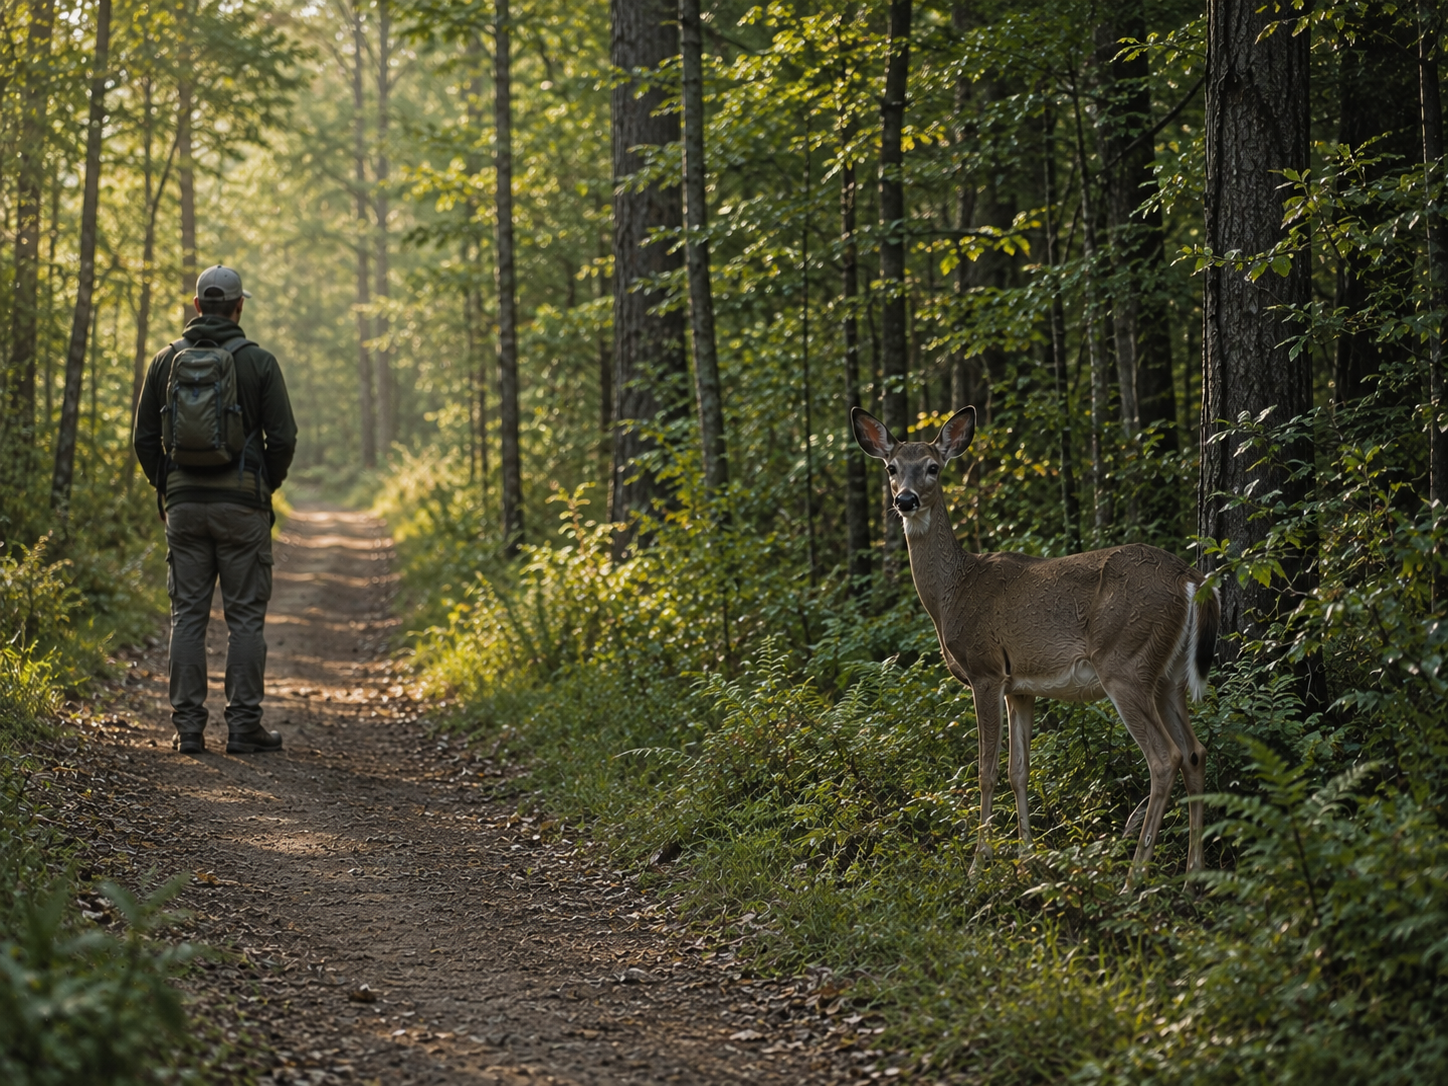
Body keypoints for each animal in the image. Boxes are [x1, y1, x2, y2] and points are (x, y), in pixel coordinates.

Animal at [852, 405, 1219, 886]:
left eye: (932, 467)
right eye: (892, 468)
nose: (906, 500)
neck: (952, 591)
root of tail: (1190, 578)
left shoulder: (985, 670)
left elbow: (987, 771)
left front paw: (978, 865)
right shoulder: (1020, 687)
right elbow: (1019, 771)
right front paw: (1027, 857)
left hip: (1125, 662)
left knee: (1164, 758)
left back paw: (1133, 877)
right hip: (1168, 675)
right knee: (1195, 752)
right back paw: (1196, 872)